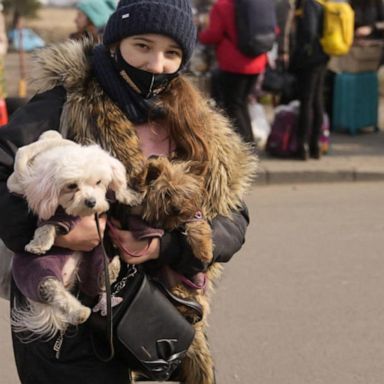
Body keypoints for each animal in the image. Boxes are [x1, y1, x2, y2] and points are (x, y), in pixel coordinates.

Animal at [7, 131, 141, 340]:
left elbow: (117, 189)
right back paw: (79, 312)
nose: (91, 202)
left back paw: (111, 270)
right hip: (38, 272)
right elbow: (46, 226)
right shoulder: (55, 216)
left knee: (97, 277)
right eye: (71, 186)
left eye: (98, 182)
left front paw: (128, 195)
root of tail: (67, 277)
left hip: (92, 257)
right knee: (55, 291)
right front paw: (38, 244)